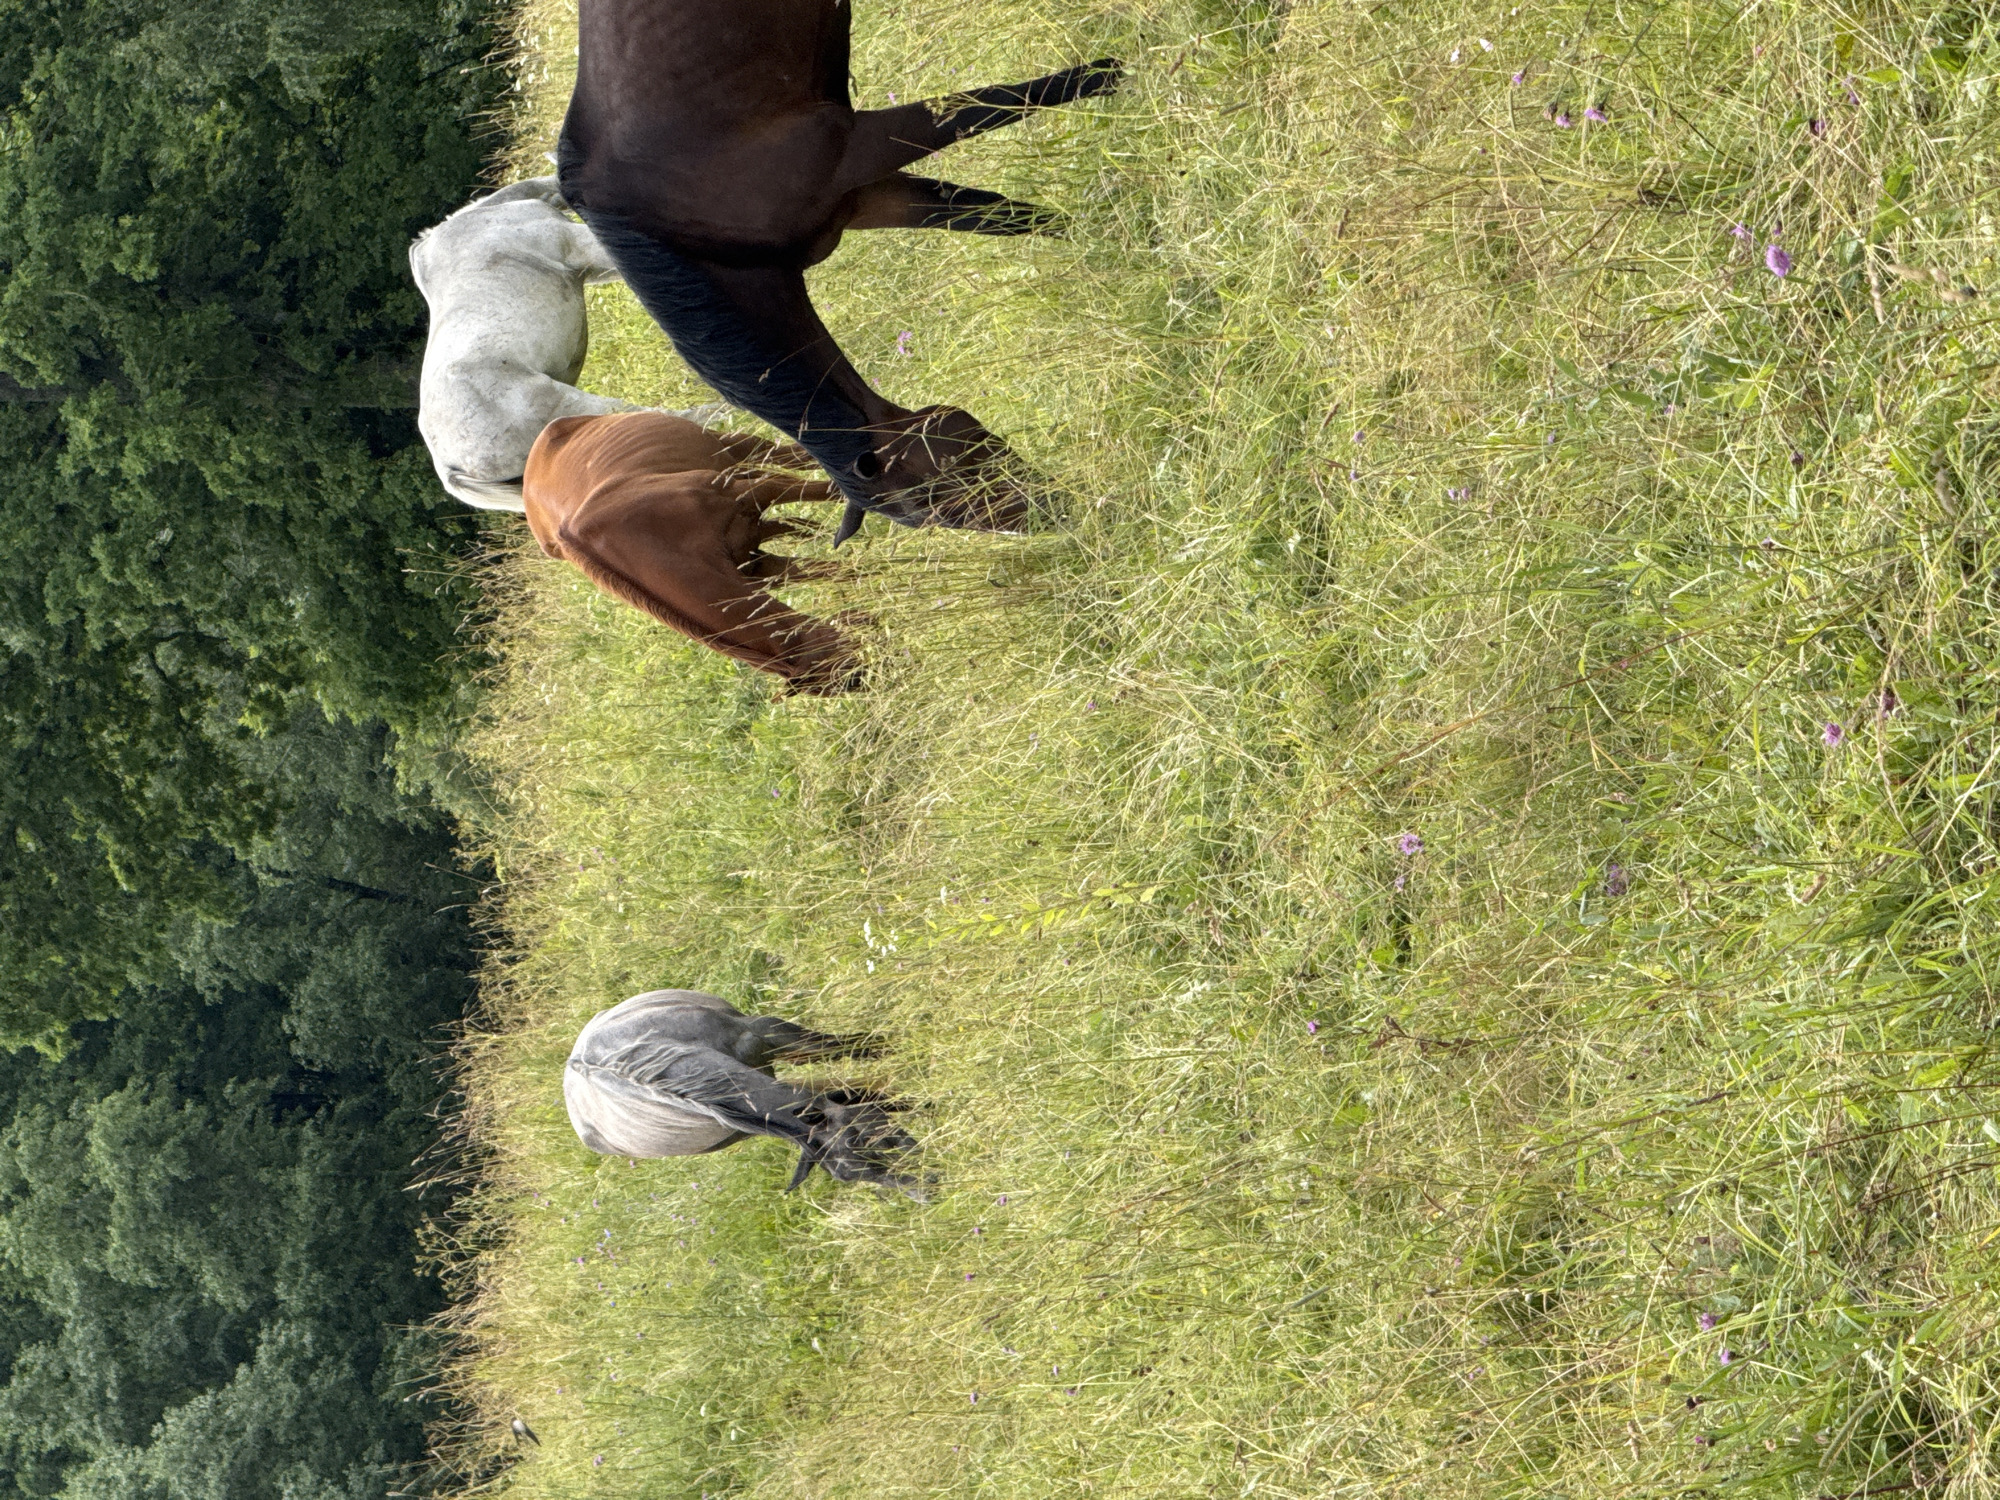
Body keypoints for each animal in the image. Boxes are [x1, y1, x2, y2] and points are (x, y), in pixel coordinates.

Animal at [522, 409, 863, 693]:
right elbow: (833, 571)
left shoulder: (747, 491)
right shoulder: (758, 568)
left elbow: (822, 490)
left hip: (728, 444)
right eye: (851, 680)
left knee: (789, 457)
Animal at [555, 1, 1121, 542]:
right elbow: (1006, 217)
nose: (1061, 515)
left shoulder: (858, 147)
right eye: (941, 505)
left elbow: (1004, 103)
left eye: (946, 483)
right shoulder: (866, 199)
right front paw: (1112, 236)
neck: (681, 218)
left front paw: (1121, 73)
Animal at [563, 990, 917, 1191]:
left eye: (871, 1141)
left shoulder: (765, 1030)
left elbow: (851, 1049)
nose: (923, 1188)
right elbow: (860, 1093)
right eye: (849, 1177)